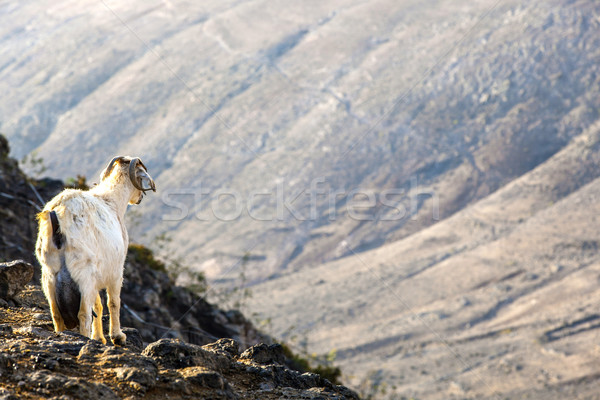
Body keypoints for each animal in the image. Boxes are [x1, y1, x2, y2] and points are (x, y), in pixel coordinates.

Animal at [35, 156, 156, 344]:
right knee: (84, 314)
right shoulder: (116, 272)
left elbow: (98, 306)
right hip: (83, 275)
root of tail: (58, 217)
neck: (112, 202)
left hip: (49, 276)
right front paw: (117, 337)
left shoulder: (96, 278)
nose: (140, 197)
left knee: (56, 314)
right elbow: (113, 303)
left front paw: (99, 337)